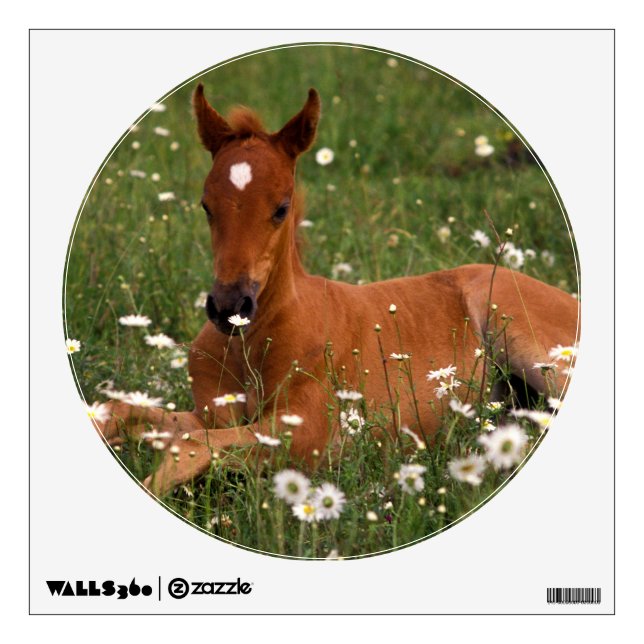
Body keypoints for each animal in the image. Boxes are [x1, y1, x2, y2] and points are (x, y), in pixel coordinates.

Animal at [99, 84, 579, 496]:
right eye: (205, 206)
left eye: (281, 208)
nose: (229, 306)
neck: (251, 343)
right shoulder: (206, 412)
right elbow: (126, 414)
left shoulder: (304, 434)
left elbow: (194, 444)